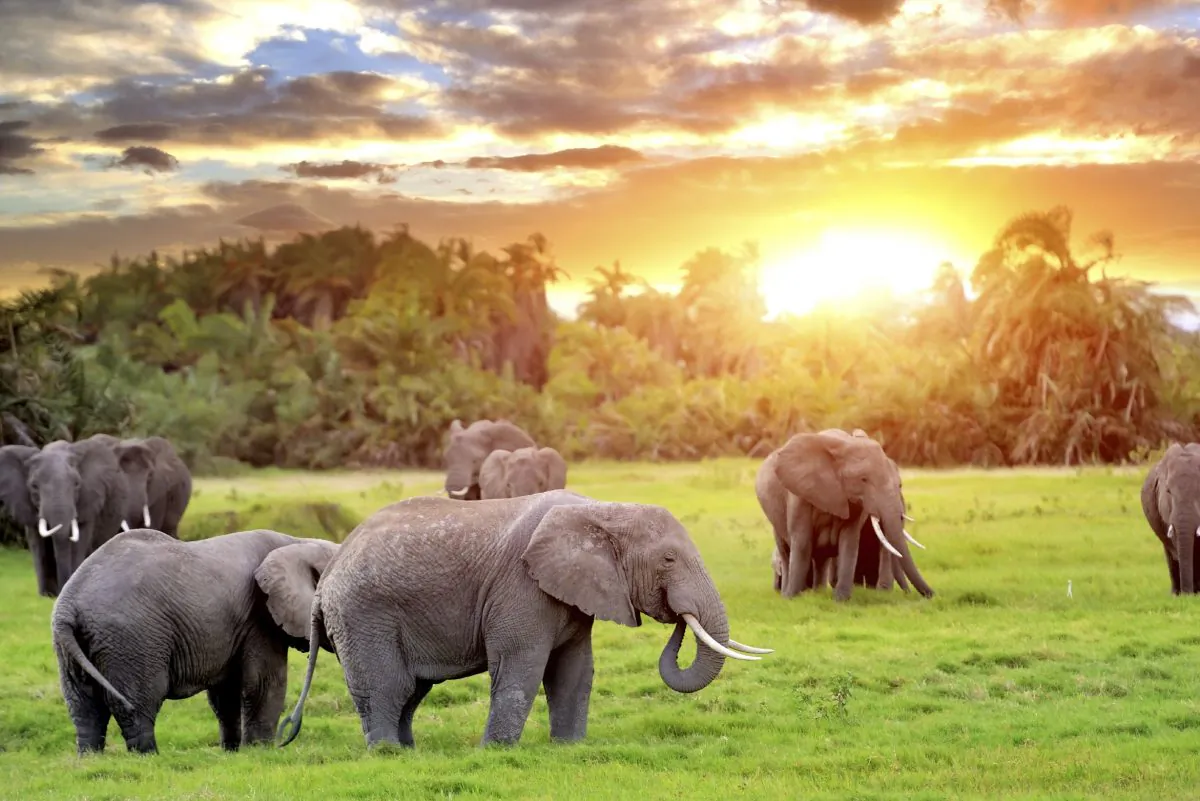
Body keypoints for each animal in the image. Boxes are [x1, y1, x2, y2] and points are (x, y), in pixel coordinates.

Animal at [0, 437, 140, 597]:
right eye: (34, 486)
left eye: (77, 484)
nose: (60, 590)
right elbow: (38, 544)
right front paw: (45, 595)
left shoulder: (89, 498)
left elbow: (79, 540)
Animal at [51, 527, 338, 754]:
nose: (285, 738)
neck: (297, 542)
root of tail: (68, 607)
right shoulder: (259, 618)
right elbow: (264, 684)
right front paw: (261, 752)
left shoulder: (237, 626)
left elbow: (226, 692)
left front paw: (232, 752)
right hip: (132, 640)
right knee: (137, 702)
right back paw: (148, 757)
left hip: (71, 648)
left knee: (83, 706)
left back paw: (90, 759)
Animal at [276, 489, 771, 750]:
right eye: (668, 559)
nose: (677, 618)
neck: (602, 509)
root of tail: (327, 576)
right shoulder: (522, 587)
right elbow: (522, 667)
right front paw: (495, 752)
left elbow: (575, 671)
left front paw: (568, 748)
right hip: (363, 615)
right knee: (387, 685)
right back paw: (387, 754)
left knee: (412, 690)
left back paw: (411, 753)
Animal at [756, 428, 933, 601]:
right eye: (863, 479)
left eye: (900, 485)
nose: (931, 595)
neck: (844, 444)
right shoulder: (799, 493)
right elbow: (802, 541)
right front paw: (793, 598)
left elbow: (850, 541)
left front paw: (841, 600)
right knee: (786, 551)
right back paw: (787, 595)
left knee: (821, 558)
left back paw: (818, 593)